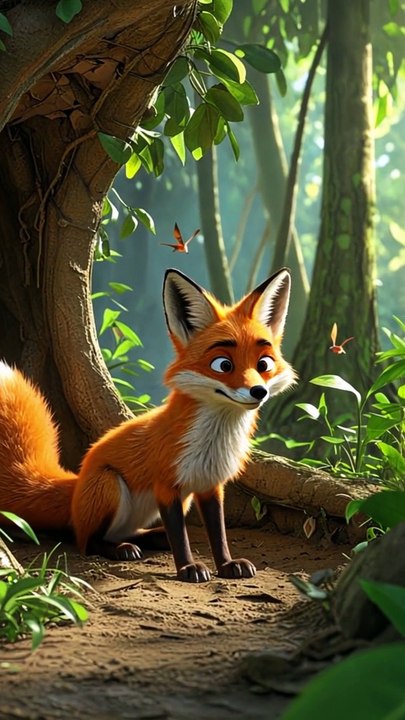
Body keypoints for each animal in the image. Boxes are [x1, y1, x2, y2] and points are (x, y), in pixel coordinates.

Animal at [0, 267, 295, 582]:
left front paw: (227, 564)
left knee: (128, 533)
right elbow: (180, 537)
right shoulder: (166, 485)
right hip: (110, 485)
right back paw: (120, 549)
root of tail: (75, 486)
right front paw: (188, 568)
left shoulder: (210, 485)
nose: (258, 392)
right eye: (223, 365)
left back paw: (150, 538)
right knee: (87, 541)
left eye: (264, 364)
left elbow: (218, 533)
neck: (213, 441)